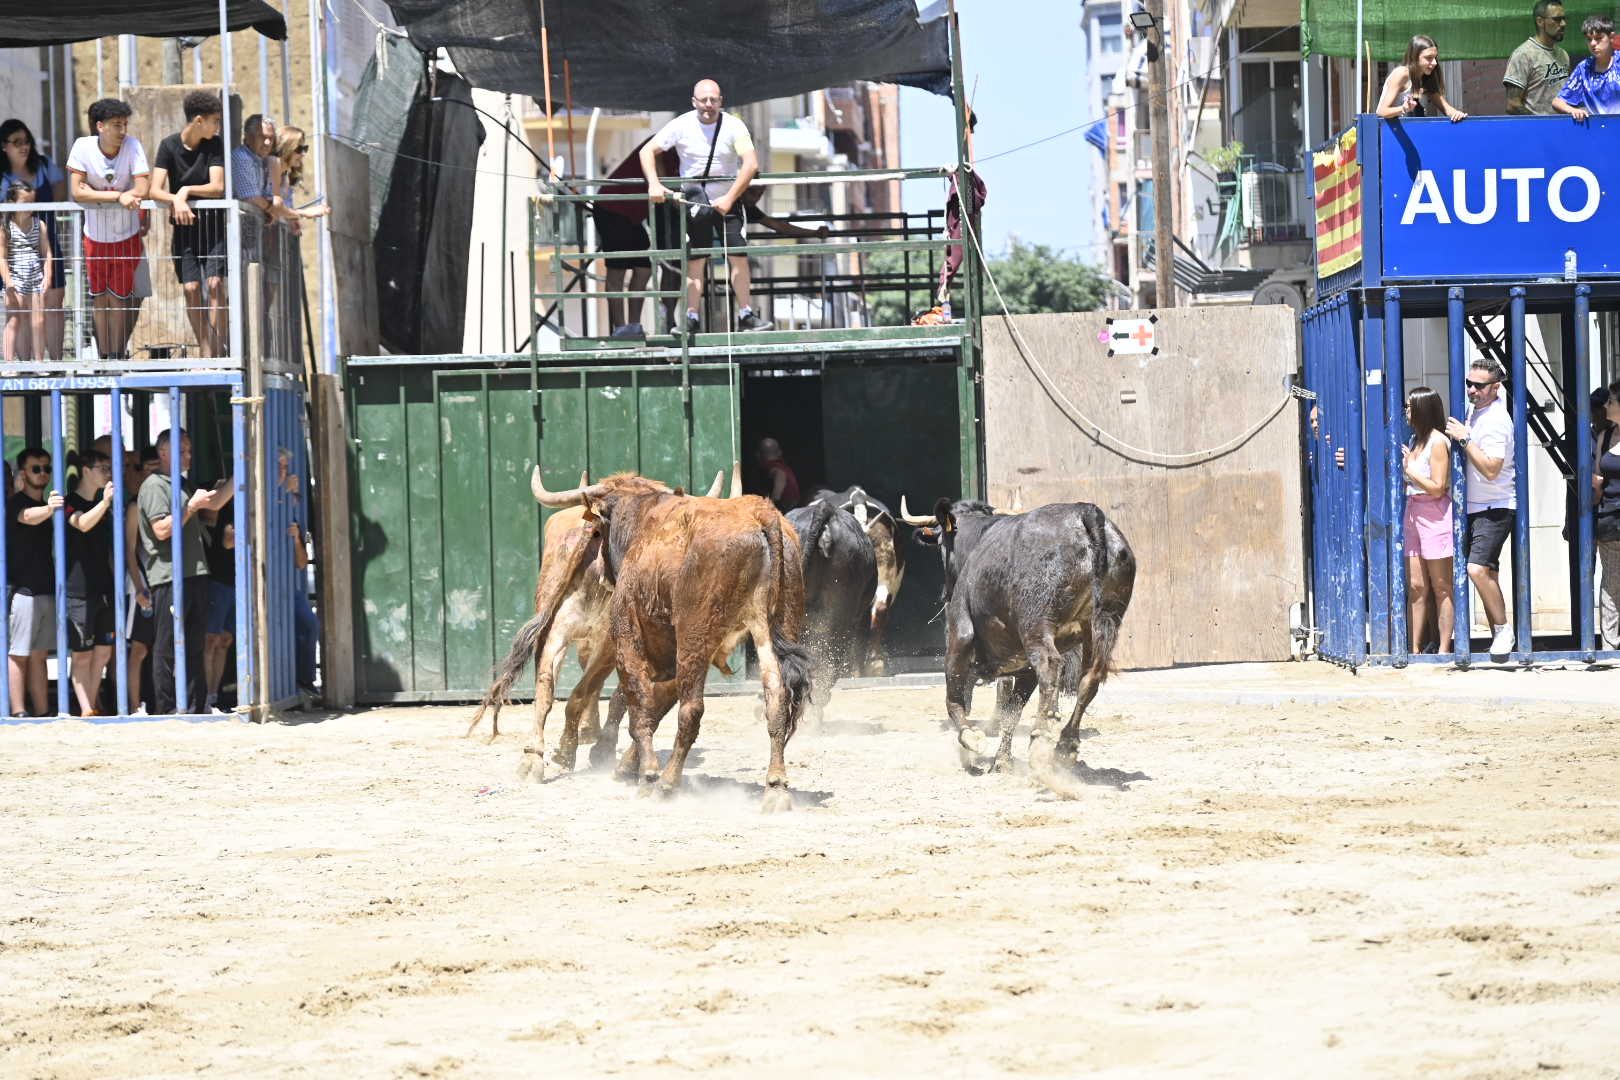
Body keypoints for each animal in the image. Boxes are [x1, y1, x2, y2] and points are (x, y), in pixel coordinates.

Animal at [537, 472, 816, 809]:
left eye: (598, 531)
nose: (601, 574)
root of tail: (761, 514)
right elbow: (652, 706)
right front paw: (628, 766)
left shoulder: (628, 638)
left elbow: (639, 706)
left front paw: (646, 774)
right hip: (772, 628)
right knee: (776, 695)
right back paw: (775, 786)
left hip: (694, 637)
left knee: (691, 709)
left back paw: (668, 782)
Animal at [913, 501, 1140, 773]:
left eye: (941, 545)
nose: (943, 592)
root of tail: (1085, 511)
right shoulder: (1023, 667)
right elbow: (1012, 712)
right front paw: (1001, 760)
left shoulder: (960, 637)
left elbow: (956, 698)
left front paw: (970, 739)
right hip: (1102, 626)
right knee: (1089, 679)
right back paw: (1066, 744)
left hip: (1036, 625)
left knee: (1051, 666)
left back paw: (1040, 737)